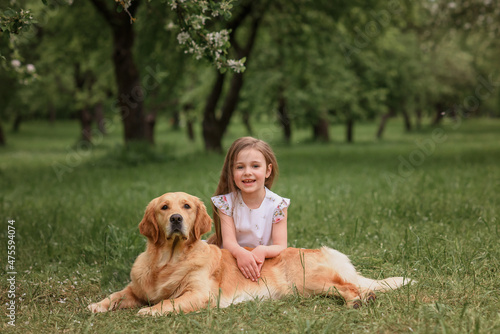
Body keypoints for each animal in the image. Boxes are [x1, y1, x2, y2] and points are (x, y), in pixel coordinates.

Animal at [88, 192, 412, 314]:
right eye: (164, 207)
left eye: (186, 206)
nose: (176, 219)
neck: (168, 259)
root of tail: (323, 249)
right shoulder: (135, 288)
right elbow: (116, 295)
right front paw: (97, 305)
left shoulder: (200, 294)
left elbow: (169, 302)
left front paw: (150, 311)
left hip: (311, 280)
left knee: (350, 286)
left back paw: (358, 300)